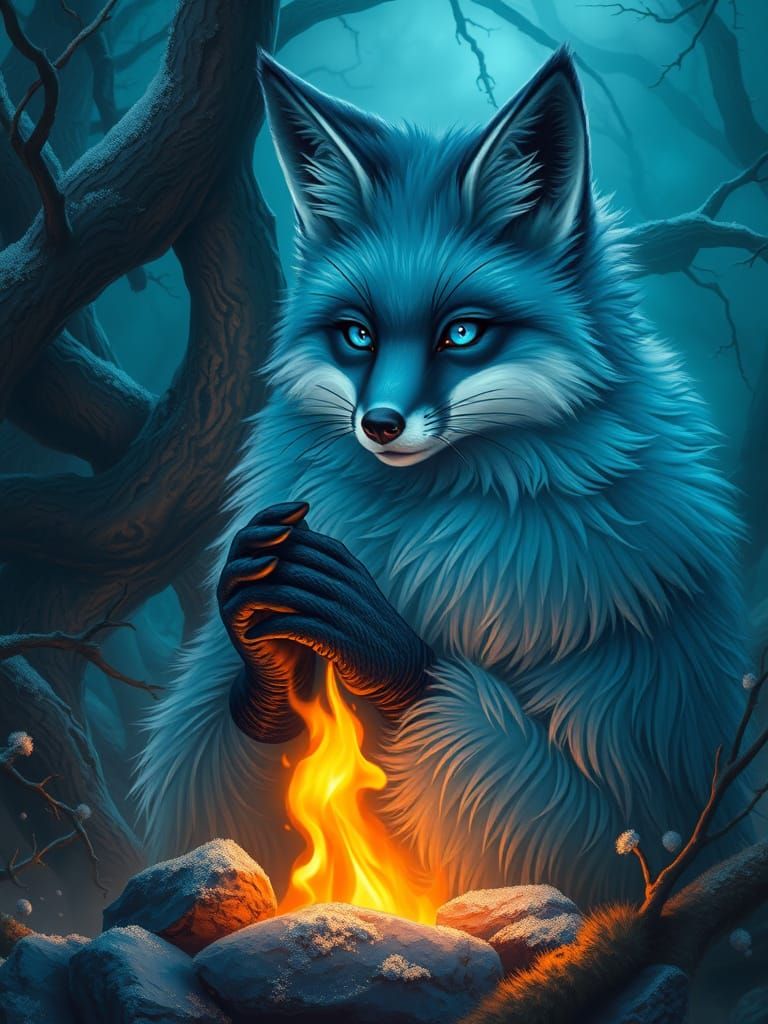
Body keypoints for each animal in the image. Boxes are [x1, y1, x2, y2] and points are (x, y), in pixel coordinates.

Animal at [135, 47, 753, 909]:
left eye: (461, 333)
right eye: (358, 334)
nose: (380, 424)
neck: (410, 524)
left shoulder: (651, 746)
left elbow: (601, 847)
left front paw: (377, 638)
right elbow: (208, 808)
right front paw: (260, 625)